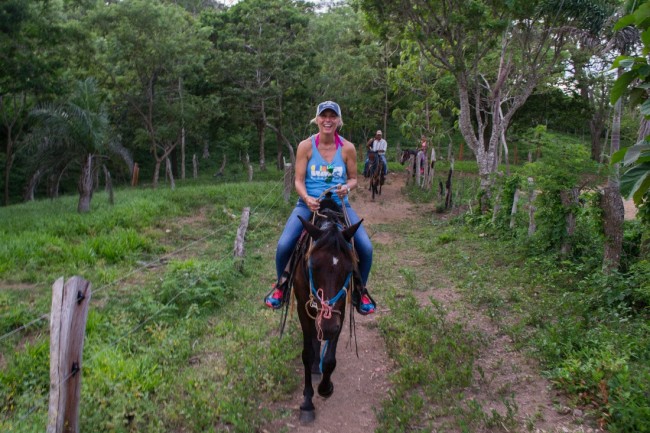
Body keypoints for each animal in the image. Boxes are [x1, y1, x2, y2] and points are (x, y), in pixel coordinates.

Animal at [292, 208, 362, 424]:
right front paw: (307, 403)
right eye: (313, 265)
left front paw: (325, 387)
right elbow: (307, 354)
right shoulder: (303, 308)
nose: (329, 327)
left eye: (349, 269)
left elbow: (330, 359)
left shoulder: (339, 310)